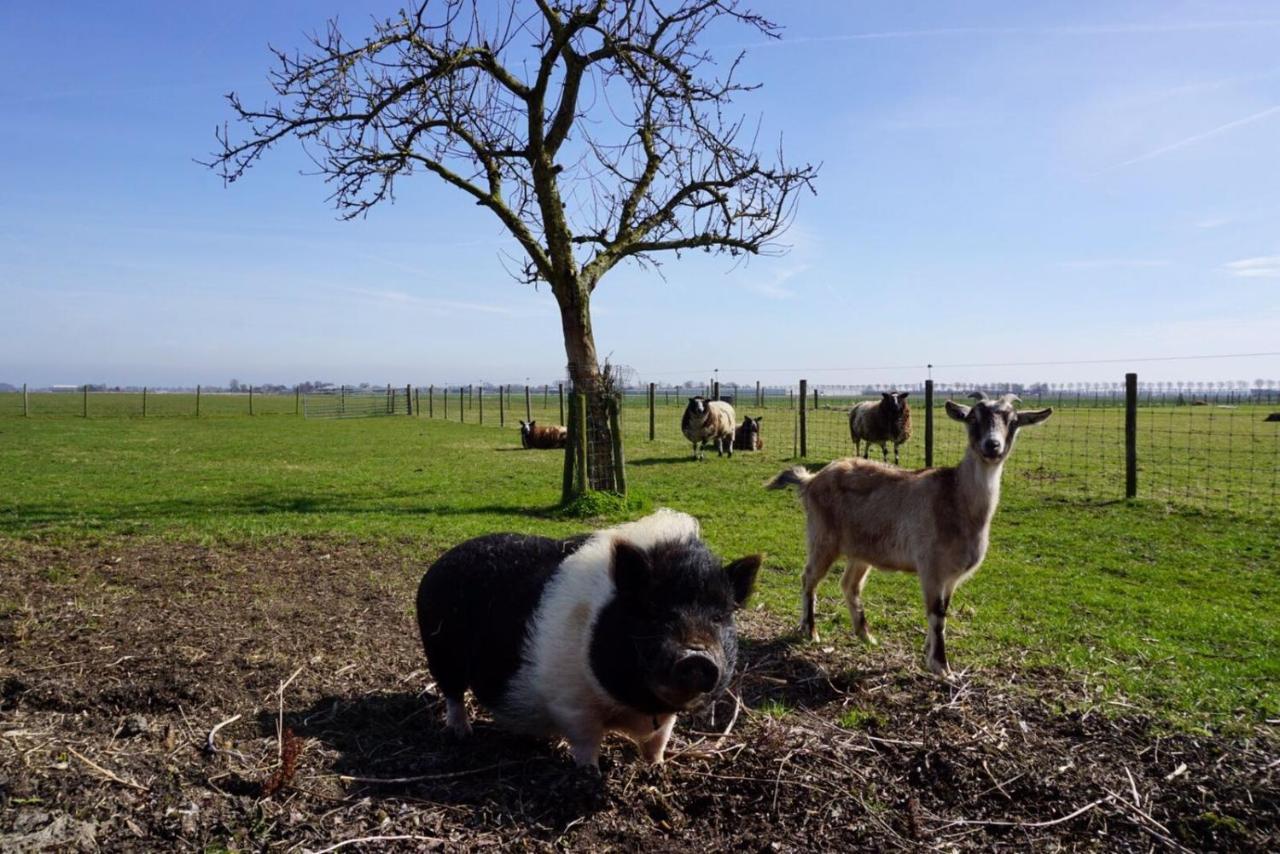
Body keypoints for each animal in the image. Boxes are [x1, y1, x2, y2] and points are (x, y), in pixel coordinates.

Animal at [417, 512, 757, 773]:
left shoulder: (664, 717)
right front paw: (590, 773)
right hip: (441, 652)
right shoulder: (572, 701)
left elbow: (658, 740)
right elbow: (586, 739)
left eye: (719, 615)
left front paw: (658, 769)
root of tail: (439, 563)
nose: (696, 656)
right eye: (653, 609)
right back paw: (462, 733)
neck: (635, 704)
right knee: (453, 694)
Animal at [768, 396, 1049, 681]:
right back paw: (810, 631)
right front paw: (942, 667)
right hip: (822, 537)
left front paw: (929, 652)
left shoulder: (951, 576)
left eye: (1013, 421)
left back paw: (866, 635)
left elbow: (943, 611)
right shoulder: (931, 567)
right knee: (808, 578)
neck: (956, 498)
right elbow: (937, 615)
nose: (992, 445)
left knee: (849, 585)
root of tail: (810, 479)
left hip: (861, 549)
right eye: (972, 418)